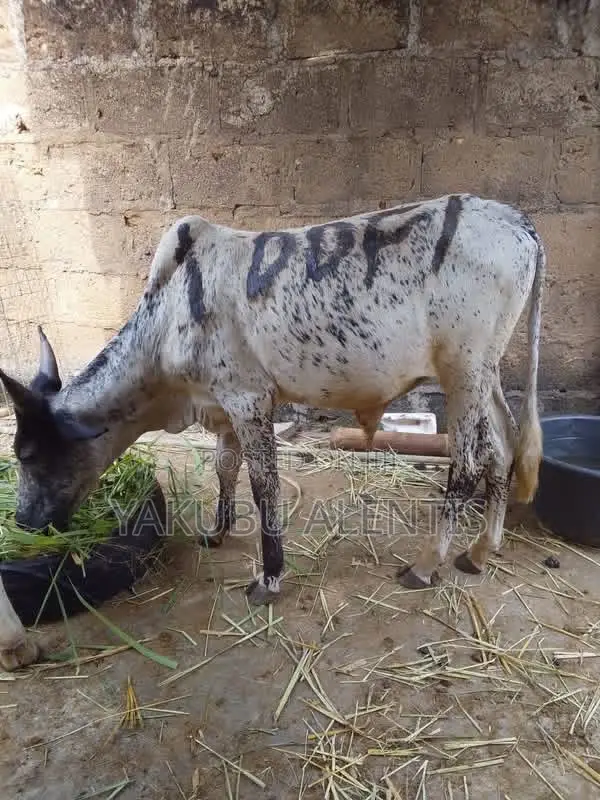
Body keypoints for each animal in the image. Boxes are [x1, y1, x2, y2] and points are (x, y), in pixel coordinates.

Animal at [0, 192, 545, 671]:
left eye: (27, 454)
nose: (23, 520)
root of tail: (515, 221)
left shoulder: (248, 398)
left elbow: (264, 488)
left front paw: (270, 576)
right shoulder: (221, 404)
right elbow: (225, 468)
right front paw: (216, 531)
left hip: (463, 369)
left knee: (470, 461)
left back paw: (428, 562)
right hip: (485, 373)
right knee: (503, 447)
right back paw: (480, 550)